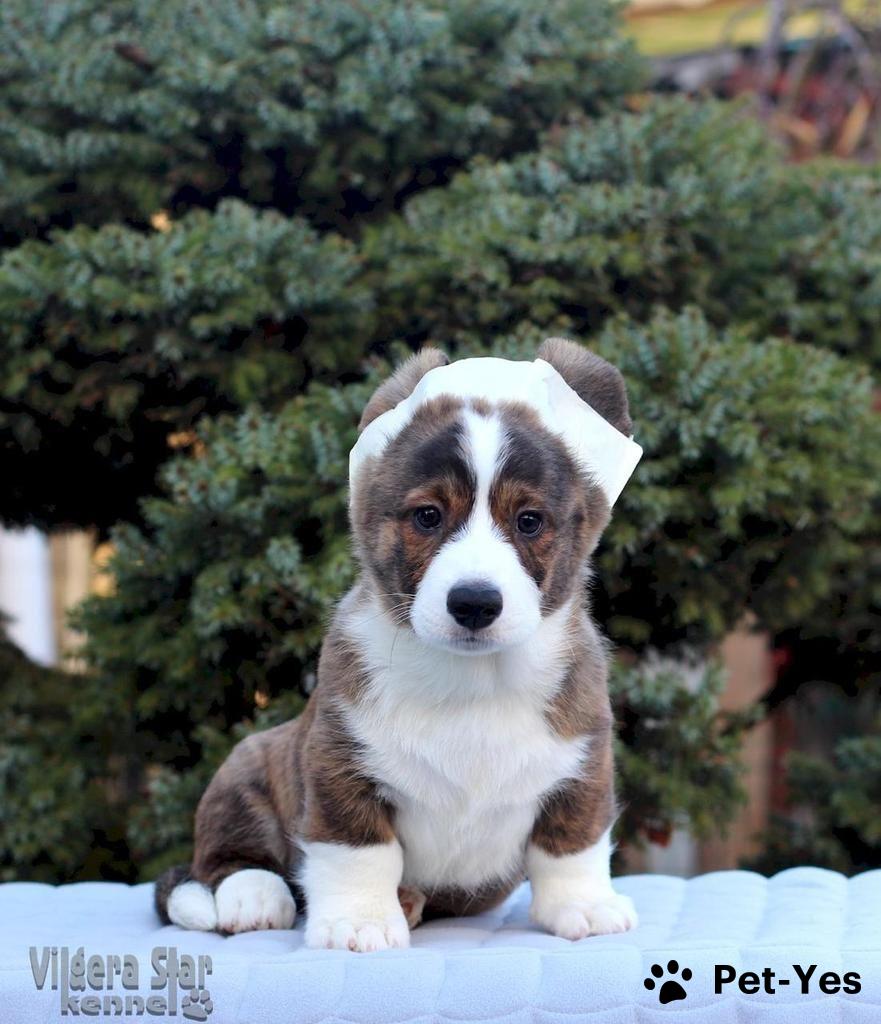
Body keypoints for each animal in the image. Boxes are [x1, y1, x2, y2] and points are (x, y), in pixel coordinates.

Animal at [155, 338, 641, 951]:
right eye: (428, 516)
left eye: (529, 521)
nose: (475, 603)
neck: (473, 679)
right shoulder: (340, 764)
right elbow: (359, 850)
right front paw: (358, 921)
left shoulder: (584, 763)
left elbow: (572, 842)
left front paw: (585, 907)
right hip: (246, 764)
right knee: (226, 856)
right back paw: (255, 897)